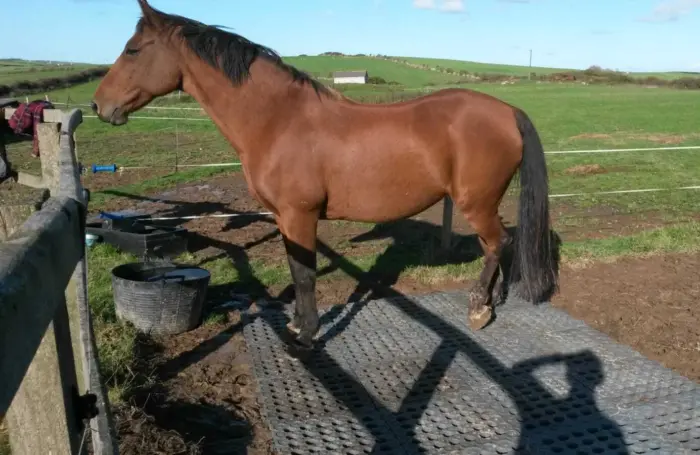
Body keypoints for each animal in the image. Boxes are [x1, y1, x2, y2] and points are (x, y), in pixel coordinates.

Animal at [92, 0, 559, 349]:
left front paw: (307, 335)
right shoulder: (284, 218)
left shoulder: (300, 215)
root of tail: (507, 111)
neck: (279, 120)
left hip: (476, 202)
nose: (99, 105)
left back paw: (479, 307)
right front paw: (299, 324)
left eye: (133, 50)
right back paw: (492, 300)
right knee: (498, 244)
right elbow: (297, 269)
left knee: (499, 243)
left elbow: (305, 273)